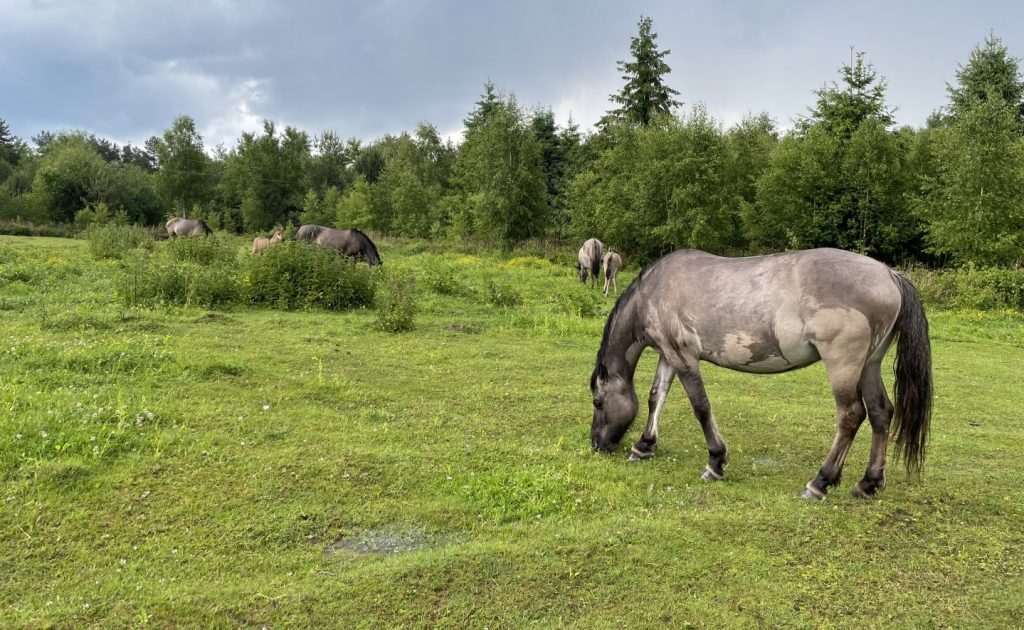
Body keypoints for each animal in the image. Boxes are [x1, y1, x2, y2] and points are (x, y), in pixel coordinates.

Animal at [589, 248, 933, 499]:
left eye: (597, 402)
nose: (597, 444)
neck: (655, 291)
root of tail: (889, 275)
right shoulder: (668, 354)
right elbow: (655, 397)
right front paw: (644, 445)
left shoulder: (684, 358)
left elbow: (701, 407)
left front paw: (715, 462)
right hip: (869, 366)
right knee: (880, 413)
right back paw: (868, 482)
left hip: (844, 365)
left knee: (851, 415)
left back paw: (820, 482)